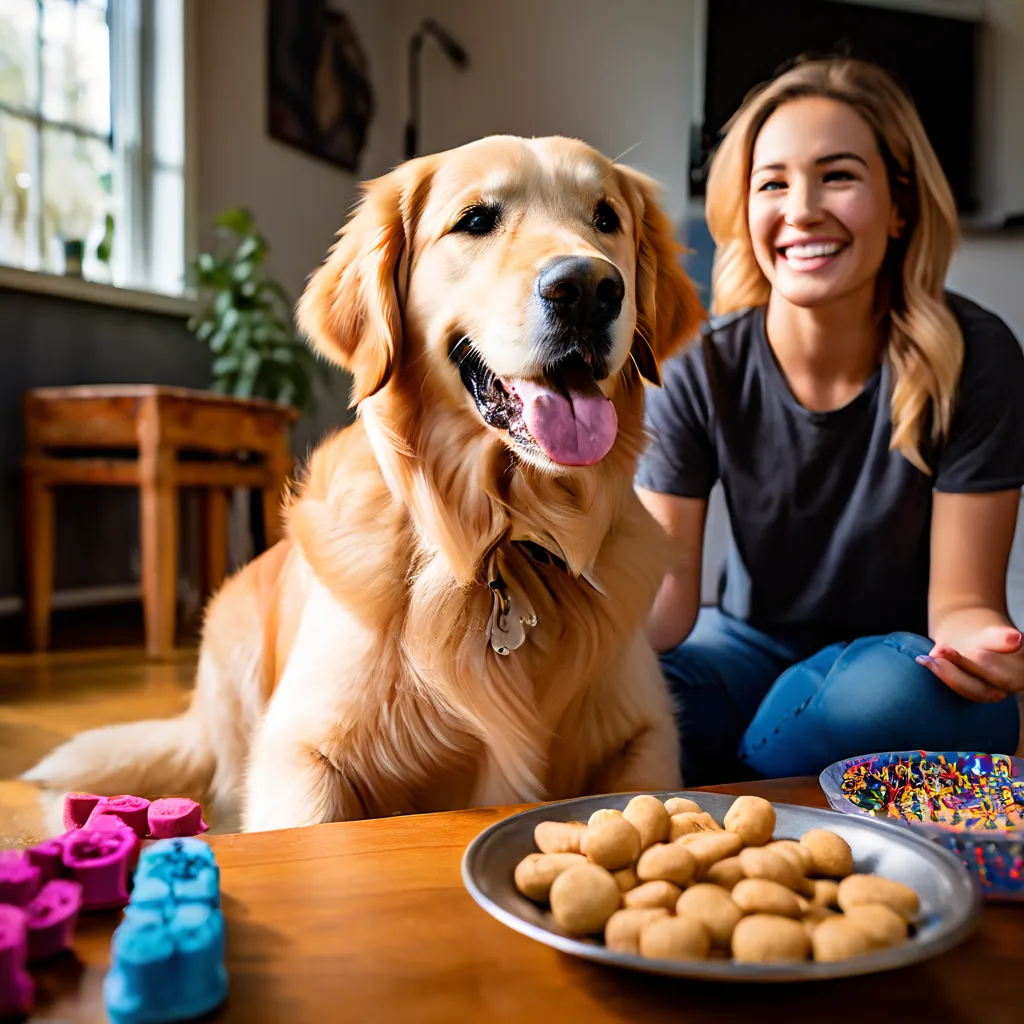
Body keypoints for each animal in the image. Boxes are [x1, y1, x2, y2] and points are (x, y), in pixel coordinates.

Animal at [24, 134, 704, 831]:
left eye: (606, 219)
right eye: (476, 220)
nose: (590, 289)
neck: (503, 543)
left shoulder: (649, 733)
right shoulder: (297, 748)